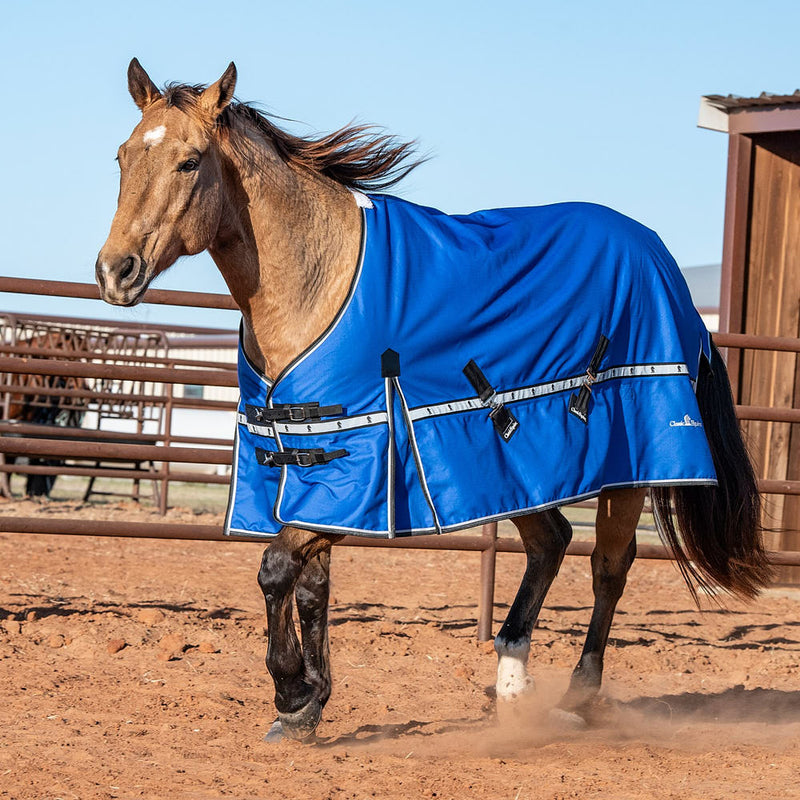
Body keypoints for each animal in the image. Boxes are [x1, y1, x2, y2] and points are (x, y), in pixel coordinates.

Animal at [96, 60, 771, 741]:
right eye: (122, 156)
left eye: (190, 161)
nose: (114, 271)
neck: (317, 281)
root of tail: (661, 257)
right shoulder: (310, 461)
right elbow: (311, 585)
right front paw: (310, 704)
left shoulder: (357, 464)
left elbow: (276, 569)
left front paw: (292, 692)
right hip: (514, 466)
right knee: (550, 542)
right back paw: (511, 687)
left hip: (628, 461)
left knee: (609, 564)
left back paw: (577, 697)